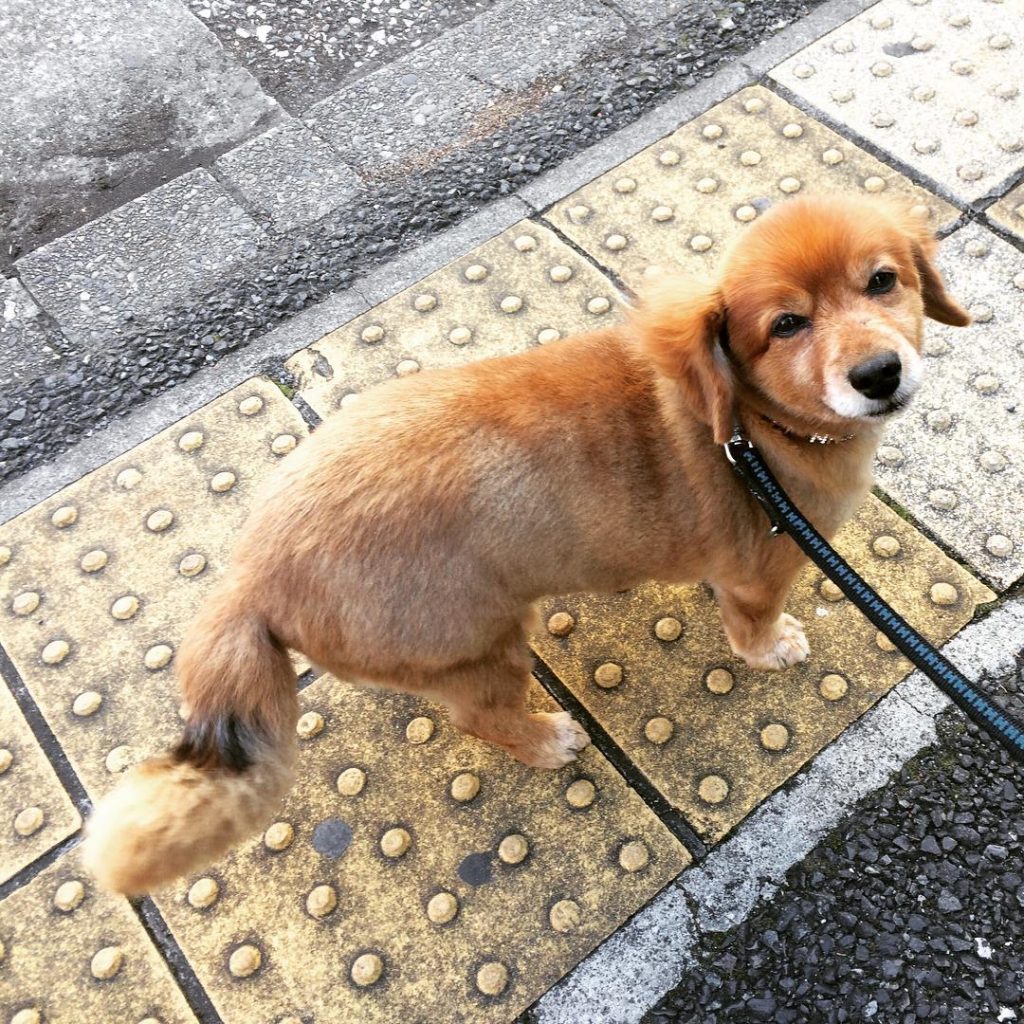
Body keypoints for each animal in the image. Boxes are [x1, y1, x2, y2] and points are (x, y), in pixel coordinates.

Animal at [81, 193, 966, 897]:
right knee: (480, 717)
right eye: (786, 325)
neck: (752, 425)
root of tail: (249, 580)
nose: (879, 374)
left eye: (883, 281)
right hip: (483, 645)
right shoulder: (761, 572)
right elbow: (752, 628)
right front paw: (773, 649)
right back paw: (547, 739)